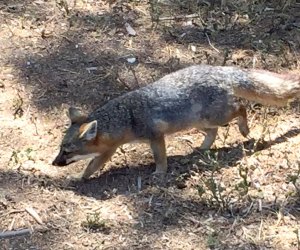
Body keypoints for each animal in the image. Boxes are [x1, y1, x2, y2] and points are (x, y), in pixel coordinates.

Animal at [52, 64, 300, 180]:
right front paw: (79, 177)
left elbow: (160, 158)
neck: (126, 117)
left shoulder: (155, 137)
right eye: (60, 149)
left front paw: (160, 173)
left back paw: (245, 130)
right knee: (214, 132)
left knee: (241, 108)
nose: (54, 163)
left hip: (217, 116)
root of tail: (220, 70)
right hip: (198, 123)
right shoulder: (109, 150)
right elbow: (92, 166)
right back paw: (202, 149)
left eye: (67, 151)